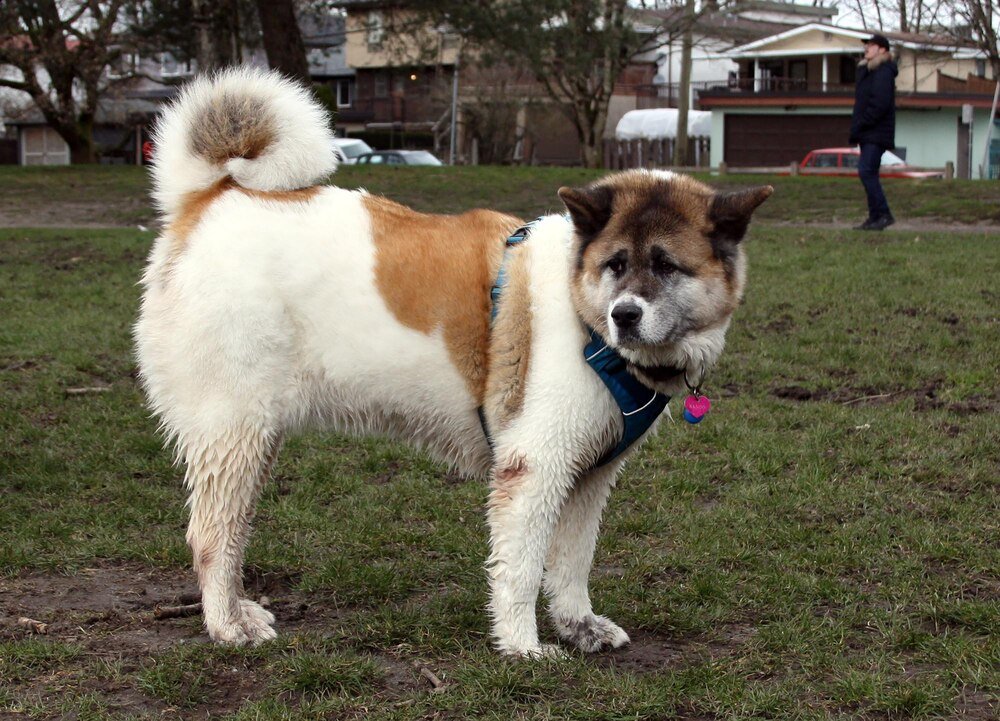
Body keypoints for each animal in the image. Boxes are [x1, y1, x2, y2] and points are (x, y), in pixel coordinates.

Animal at [134, 68, 771, 657]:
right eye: (615, 264)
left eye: (666, 266)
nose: (626, 316)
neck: (582, 314)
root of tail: (211, 198)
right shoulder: (532, 467)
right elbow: (521, 570)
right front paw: (522, 647)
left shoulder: (589, 476)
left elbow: (572, 564)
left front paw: (579, 627)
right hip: (234, 431)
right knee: (210, 537)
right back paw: (226, 625)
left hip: (252, 437)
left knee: (231, 531)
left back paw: (240, 609)